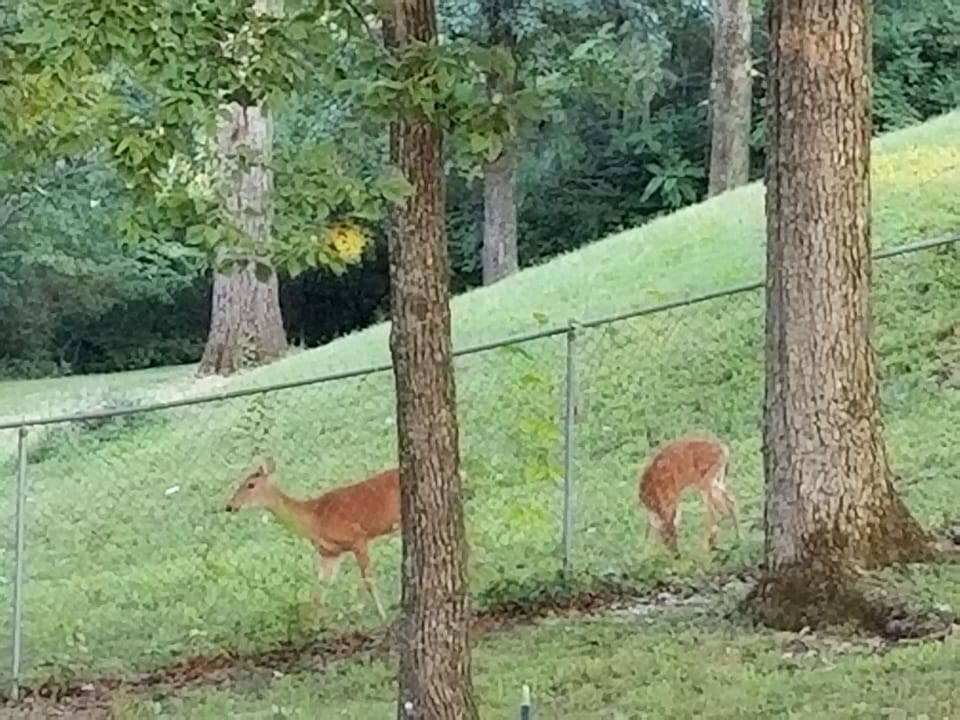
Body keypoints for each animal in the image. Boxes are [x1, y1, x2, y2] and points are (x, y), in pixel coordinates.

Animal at [224, 456, 400, 622]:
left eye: (251, 484)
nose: (229, 506)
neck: (315, 520)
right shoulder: (330, 552)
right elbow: (319, 591)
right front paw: (312, 625)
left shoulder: (358, 538)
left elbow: (368, 580)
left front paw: (383, 616)